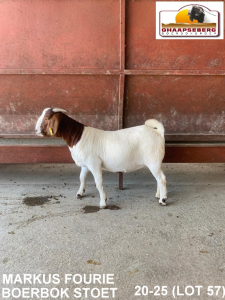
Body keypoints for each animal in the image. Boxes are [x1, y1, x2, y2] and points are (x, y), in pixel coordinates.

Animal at [35, 108, 167, 209]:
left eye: (47, 118)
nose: (36, 130)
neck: (79, 137)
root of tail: (158, 133)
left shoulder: (94, 163)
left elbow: (98, 183)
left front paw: (103, 202)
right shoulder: (85, 165)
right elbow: (82, 178)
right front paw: (80, 193)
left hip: (153, 160)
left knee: (162, 179)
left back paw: (163, 200)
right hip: (155, 162)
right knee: (159, 178)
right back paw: (158, 194)